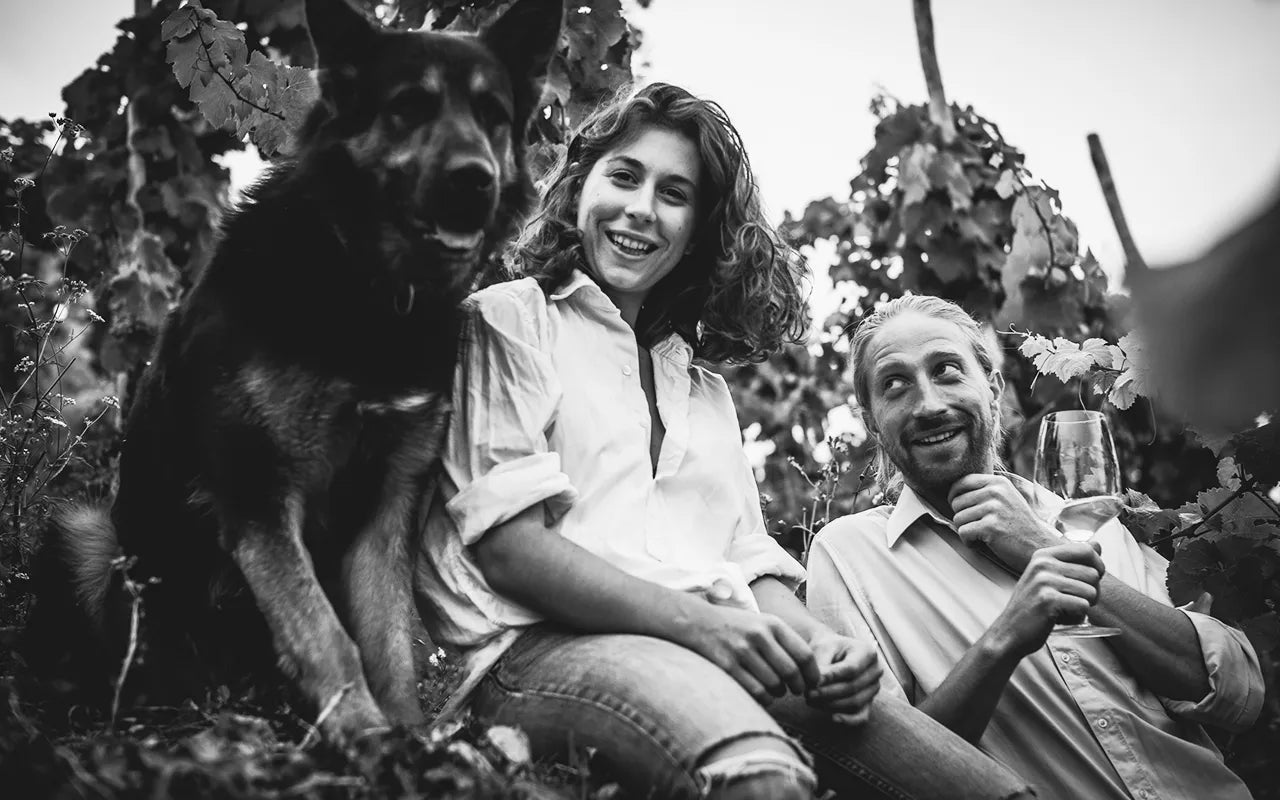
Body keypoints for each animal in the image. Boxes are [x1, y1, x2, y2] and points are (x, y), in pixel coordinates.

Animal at [29, 0, 563, 741]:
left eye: (492, 113)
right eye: (408, 107)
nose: (474, 182)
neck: (371, 292)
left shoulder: (388, 499)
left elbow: (385, 634)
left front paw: (403, 733)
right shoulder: (260, 497)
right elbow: (325, 631)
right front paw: (363, 734)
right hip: (85, 530)